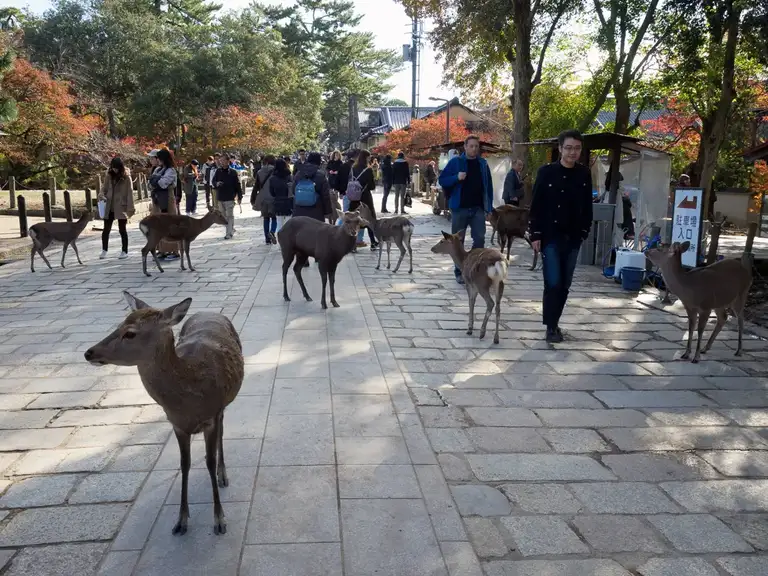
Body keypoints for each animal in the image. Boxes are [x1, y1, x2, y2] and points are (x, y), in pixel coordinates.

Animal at [84, 291, 244, 536]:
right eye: (119, 324)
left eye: (130, 333)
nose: (89, 352)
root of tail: (209, 312)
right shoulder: (176, 425)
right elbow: (184, 464)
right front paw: (181, 520)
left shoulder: (211, 416)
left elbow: (208, 460)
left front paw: (219, 520)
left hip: (223, 407)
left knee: (222, 434)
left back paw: (222, 474)